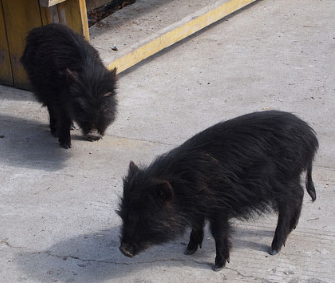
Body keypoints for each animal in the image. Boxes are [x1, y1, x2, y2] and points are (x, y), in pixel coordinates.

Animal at [119, 110, 320, 272]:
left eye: (146, 216)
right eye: (123, 214)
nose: (123, 250)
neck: (185, 188)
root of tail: (310, 136)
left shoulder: (219, 207)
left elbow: (218, 232)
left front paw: (217, 266)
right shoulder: (200, 207)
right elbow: (197, 224)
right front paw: (188, 251)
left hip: (284, 180)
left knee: (288, 204)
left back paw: (274, 249)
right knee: (299, 194)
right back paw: (291, 229)